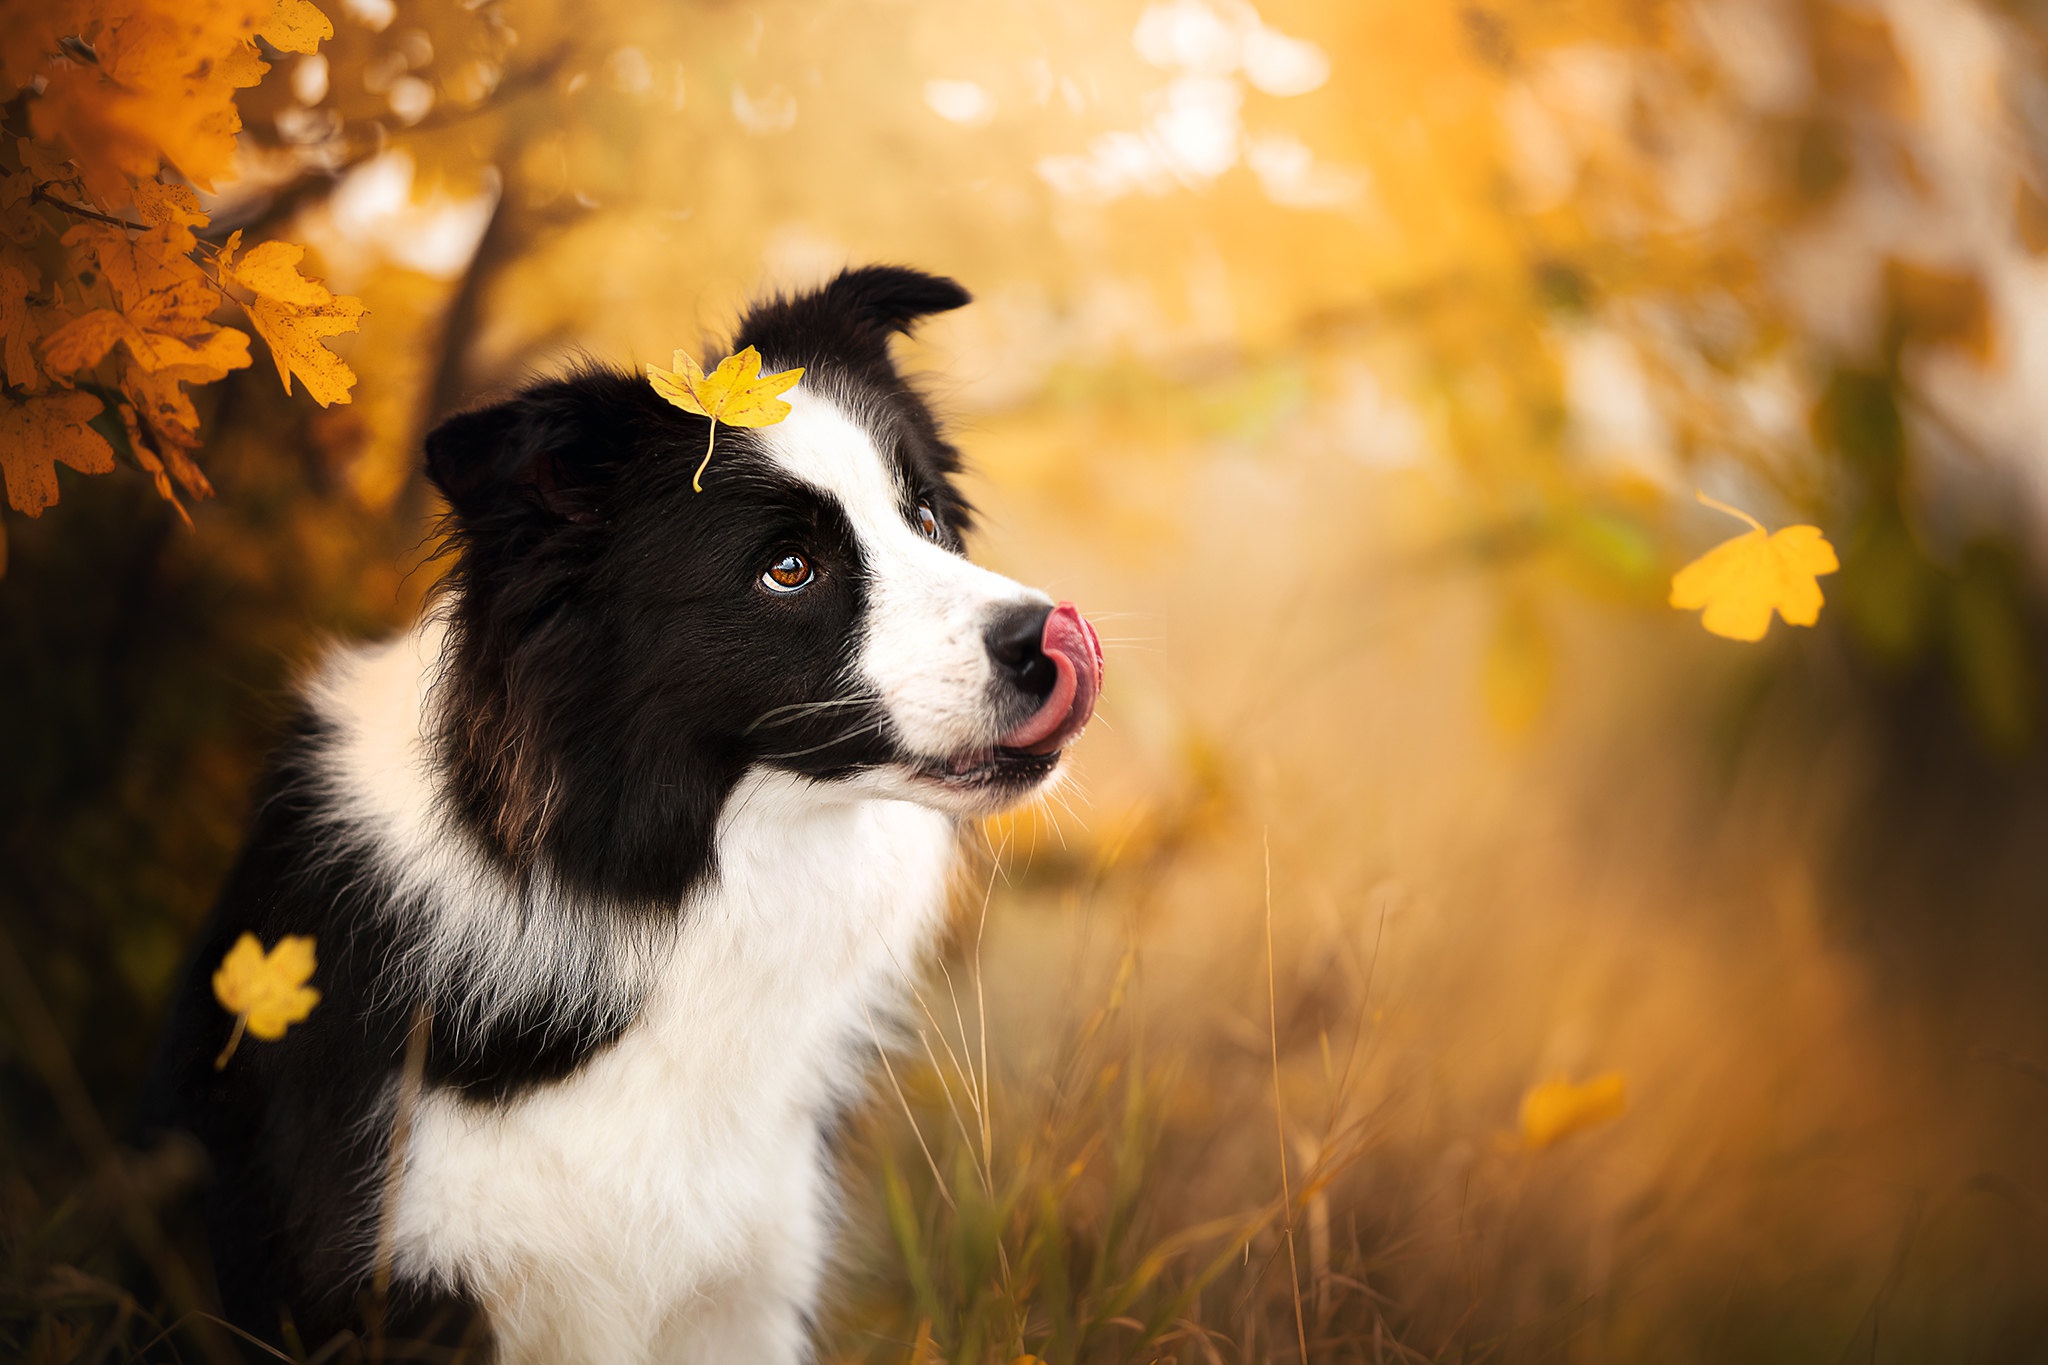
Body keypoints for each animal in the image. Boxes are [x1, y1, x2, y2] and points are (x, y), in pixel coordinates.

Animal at [140, 270, 1105, 1365]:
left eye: (927, 519)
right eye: (787, 568)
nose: (1046, 638)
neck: (649, 887)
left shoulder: (743, 1286)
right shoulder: (395, 1277)